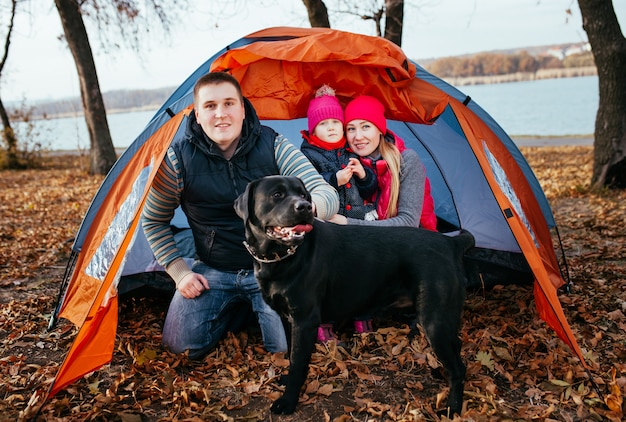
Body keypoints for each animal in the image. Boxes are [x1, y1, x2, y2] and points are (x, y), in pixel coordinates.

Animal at [234, 175, 472, 416]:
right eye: (277, 194)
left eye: (303, 194)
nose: (305, 207)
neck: (281, 257)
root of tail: (450, 242)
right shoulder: (288, 319)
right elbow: (292, 357)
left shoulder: (305, 321)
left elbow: (298, 363)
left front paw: (288, 401)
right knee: (457, 348)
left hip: (435, 321)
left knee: (458, 368)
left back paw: (453, 407)